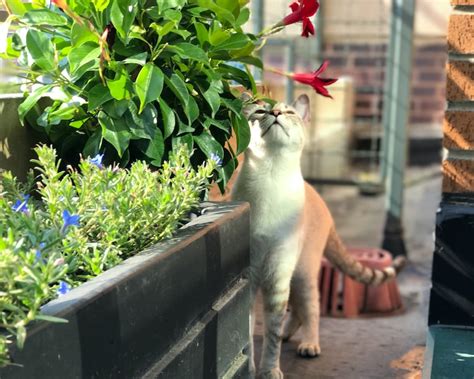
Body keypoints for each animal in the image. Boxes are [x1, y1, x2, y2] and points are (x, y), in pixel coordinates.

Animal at [231, 95, 406, 379]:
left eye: (289, 112)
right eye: (261, 111)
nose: (276, 113)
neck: (271, 174)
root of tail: (321, 200)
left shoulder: (278, 274)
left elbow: (271, 335)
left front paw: (270, 370)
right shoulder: (253, 277)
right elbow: (247, 336)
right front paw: (249, 370)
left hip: (302, 272)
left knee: (311, 308)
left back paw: (309, 344)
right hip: (294, 276)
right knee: (298, 310)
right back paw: (291, 335)